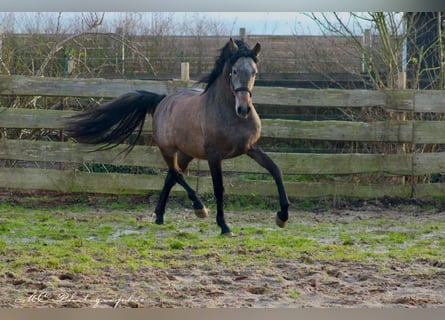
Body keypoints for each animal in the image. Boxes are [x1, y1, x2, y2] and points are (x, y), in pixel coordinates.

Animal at [64, 38, 290, 236]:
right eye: (234, 71)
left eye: (254, 72)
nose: (243, 109)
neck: (229, 114)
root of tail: (163, 100)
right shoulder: (214, 156)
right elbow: (219, 188)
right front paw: (224, 226)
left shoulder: (250, 147)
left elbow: (276, 170)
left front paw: (282, 216)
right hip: (167, 150)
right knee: (177, 174)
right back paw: (199, 209)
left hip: (186, 153)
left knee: (170, 177)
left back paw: (159, 216)